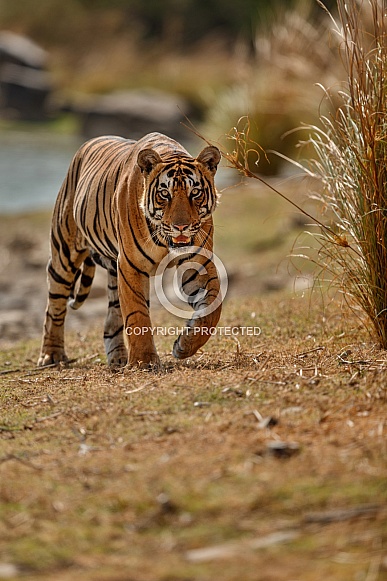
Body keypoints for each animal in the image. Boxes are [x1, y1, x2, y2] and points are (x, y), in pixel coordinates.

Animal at [39, 131, 223, 368]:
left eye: (195, 193)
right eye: (165, 194)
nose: (180, 227)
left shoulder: (198, 262)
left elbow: (212, 307)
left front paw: (184, 345)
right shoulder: (130, 265)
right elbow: (137, 314)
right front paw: (144, 361)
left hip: (111, 270)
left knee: (111, 319)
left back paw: (117, 358)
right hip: (64, 253)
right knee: (55, 306)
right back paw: (51, 355)